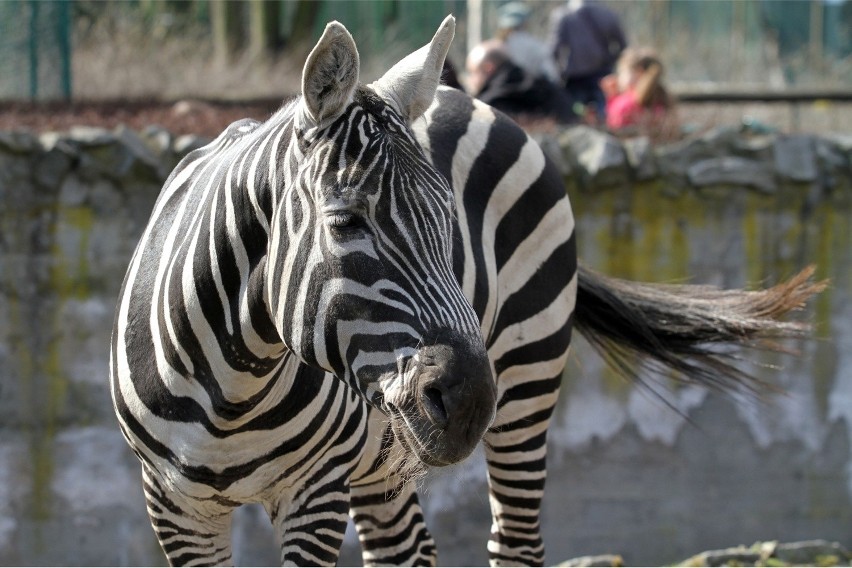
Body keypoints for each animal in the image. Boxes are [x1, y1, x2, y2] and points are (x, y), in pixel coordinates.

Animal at [110, 15, 824, 564]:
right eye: (345, 223)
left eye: (450, 225)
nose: (471, 399)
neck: (233, 390)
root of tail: (471, 98)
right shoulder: (171, 505)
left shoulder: (315, 493)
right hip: (388, 454)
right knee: (407, 549)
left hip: (527, 383)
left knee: (516, 540)